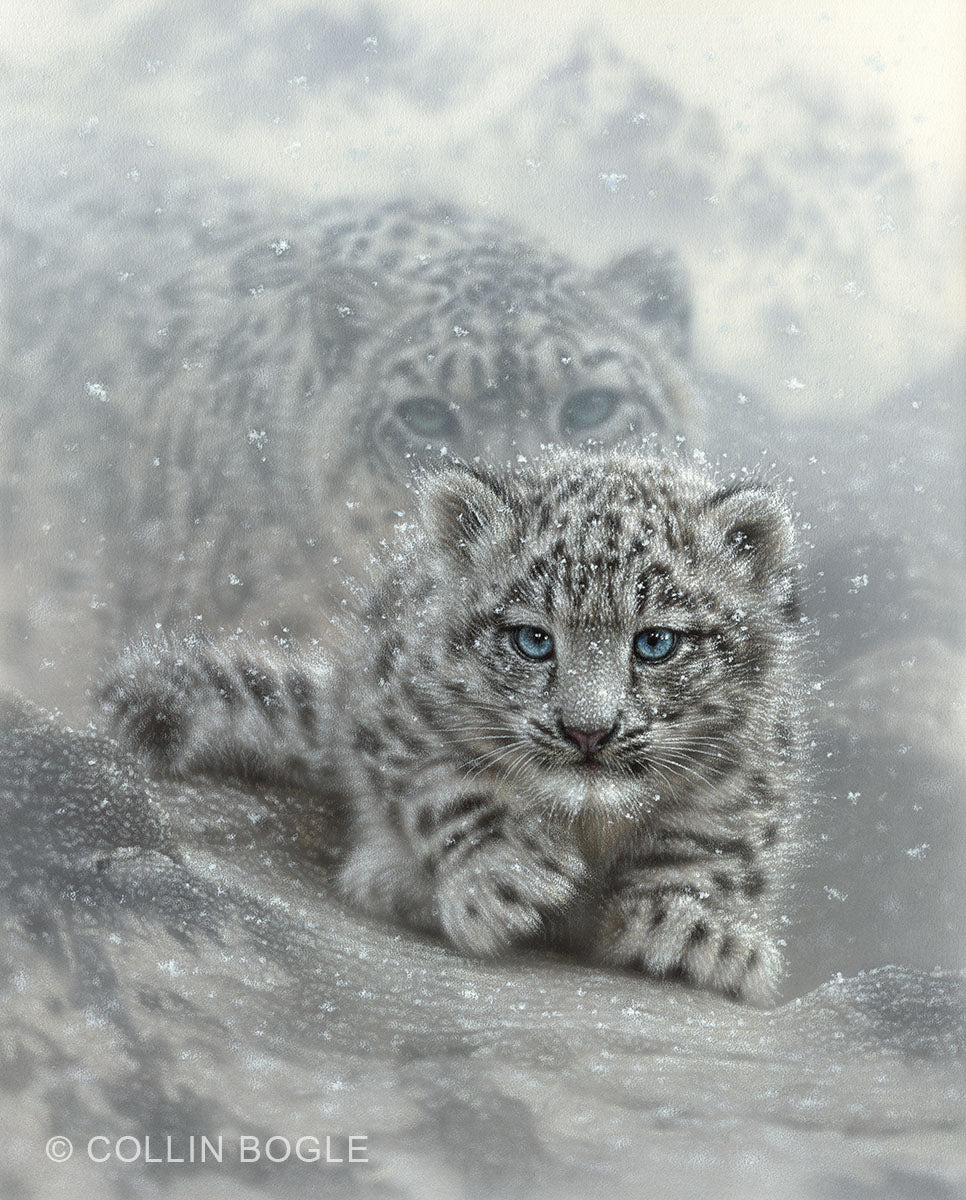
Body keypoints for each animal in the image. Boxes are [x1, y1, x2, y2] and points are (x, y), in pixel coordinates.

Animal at [102, 451, 801, 1003]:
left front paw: (696, 931)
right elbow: (450, 792)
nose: (587, 732)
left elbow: (705, 848)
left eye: (656, 642)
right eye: (532, 640)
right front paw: (505, 876)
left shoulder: (742, 772)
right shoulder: (401, 720)